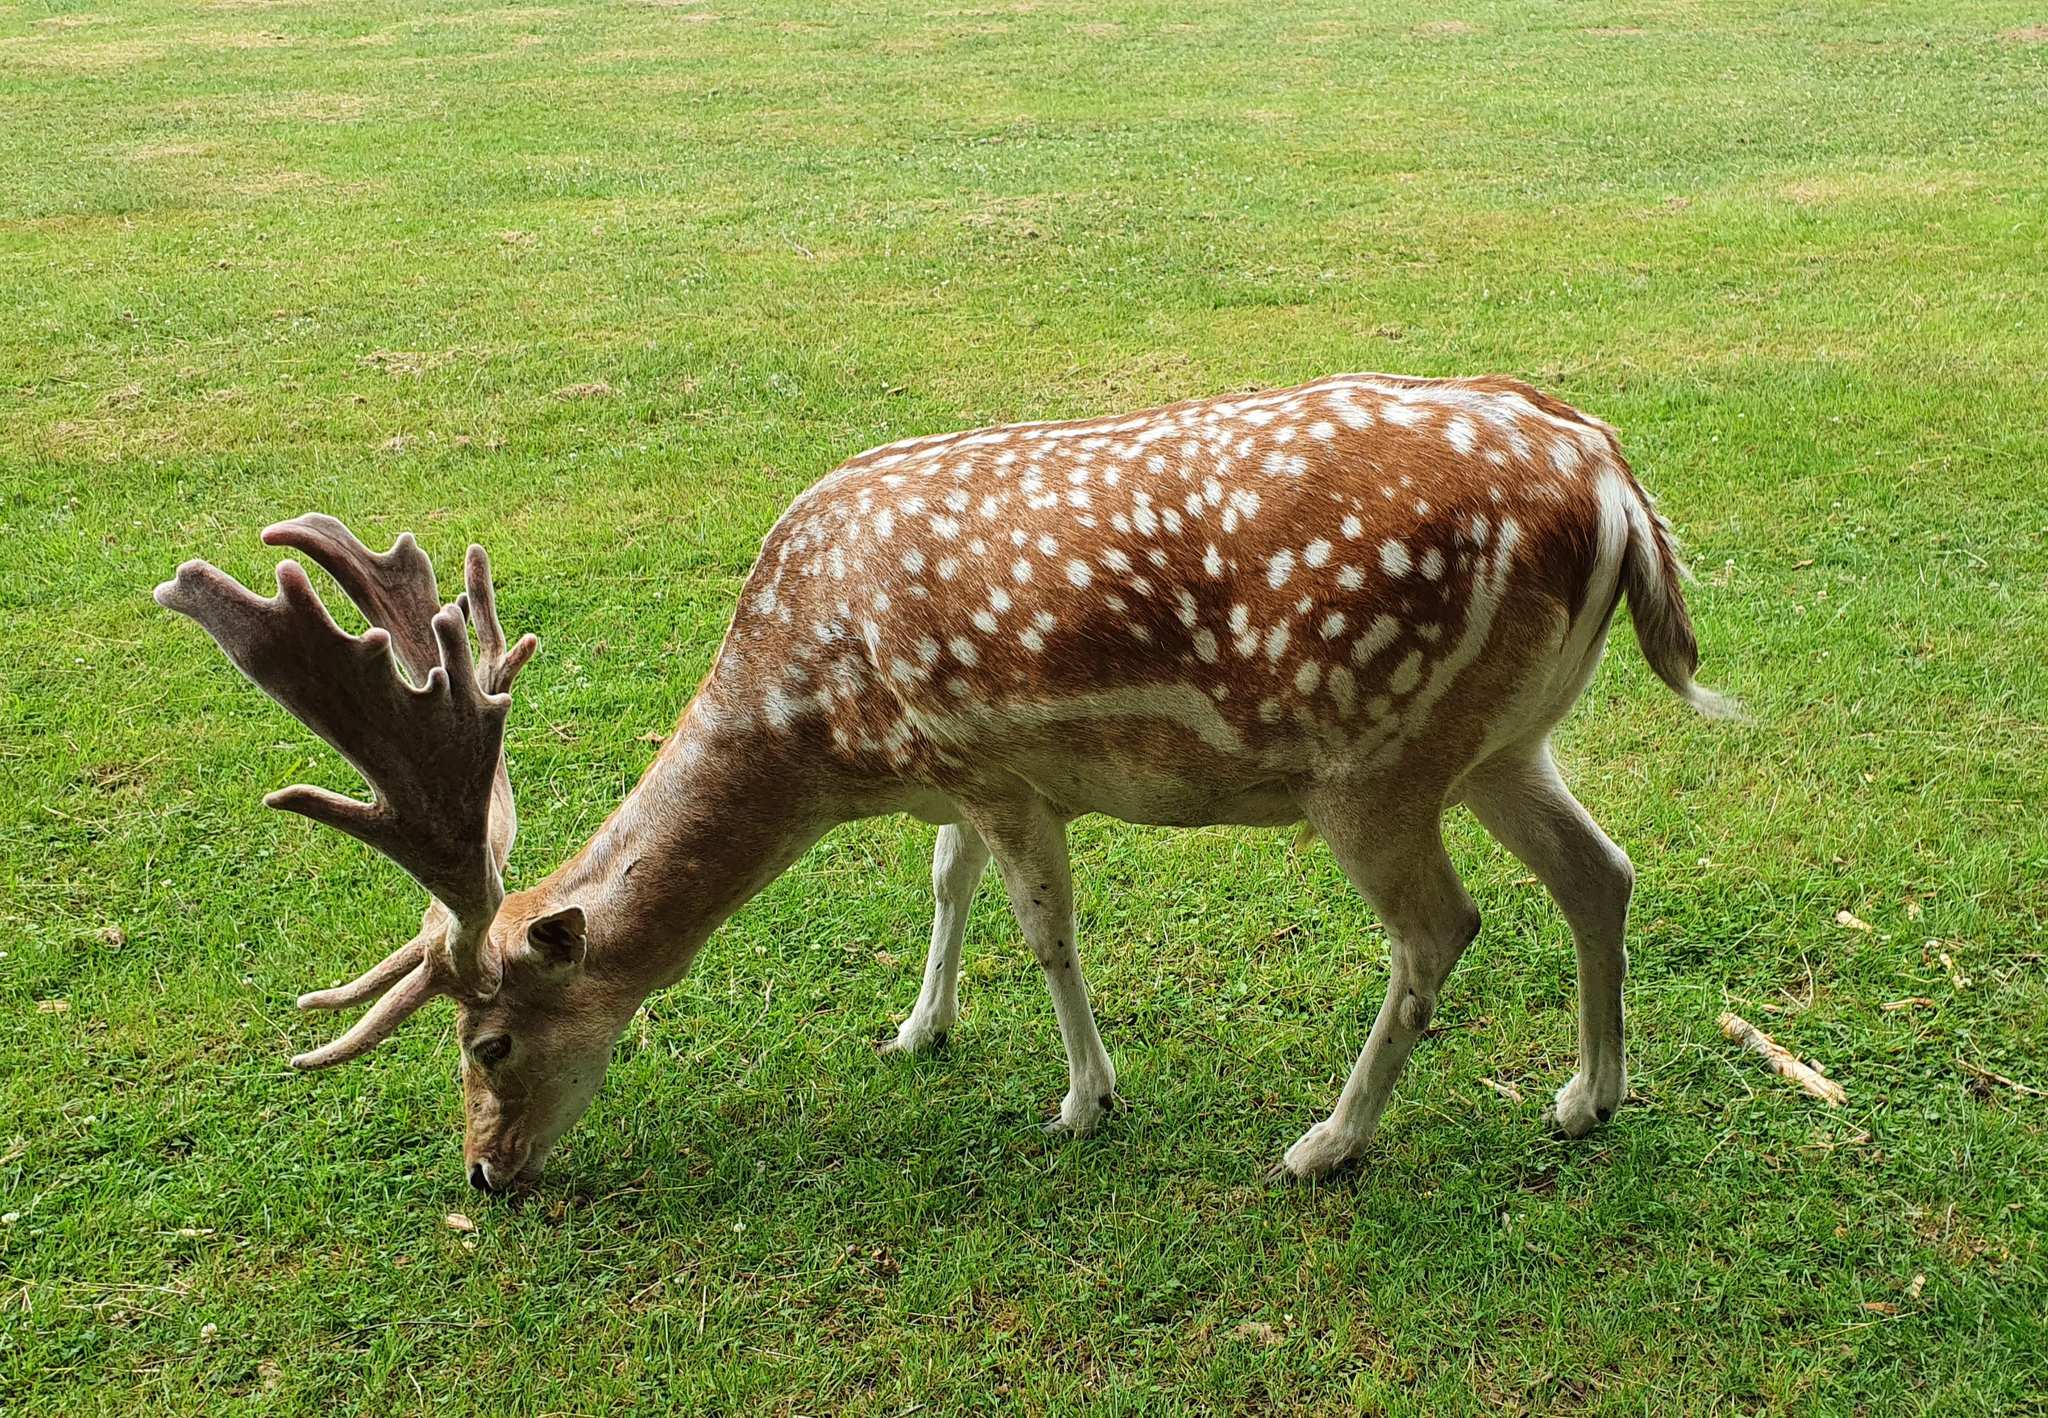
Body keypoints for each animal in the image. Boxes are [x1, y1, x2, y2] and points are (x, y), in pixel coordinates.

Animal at [156, 371, 1735, 1192]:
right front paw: (917, 1027)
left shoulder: (994, 762)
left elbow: (1045, 925)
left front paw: (1083, 1097)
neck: (816, 731)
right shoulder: (954, 784)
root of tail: (1610, 482)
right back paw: (1587, 1095)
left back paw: (1326, 1141)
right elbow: (946, 885)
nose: (487, 1172)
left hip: (1374, 751)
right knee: (1603, 870)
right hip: (1500, 740)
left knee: (1438, 928)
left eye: (487, 1044)